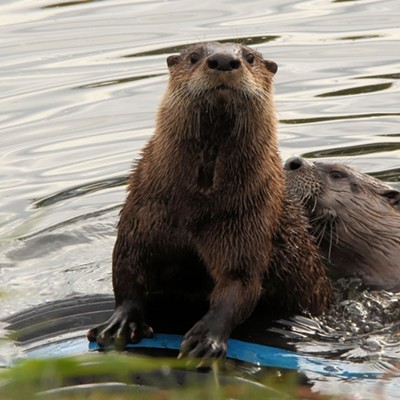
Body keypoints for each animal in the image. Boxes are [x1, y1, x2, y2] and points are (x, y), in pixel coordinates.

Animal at [88, 42, 334, 358]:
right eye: (194, 56)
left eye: (250, 58)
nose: (224, 60)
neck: (195, 205)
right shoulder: (142, 213)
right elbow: (128, 267)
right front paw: (121, 323)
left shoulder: (248, 221)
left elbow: (240, 283)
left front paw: (206, 338)